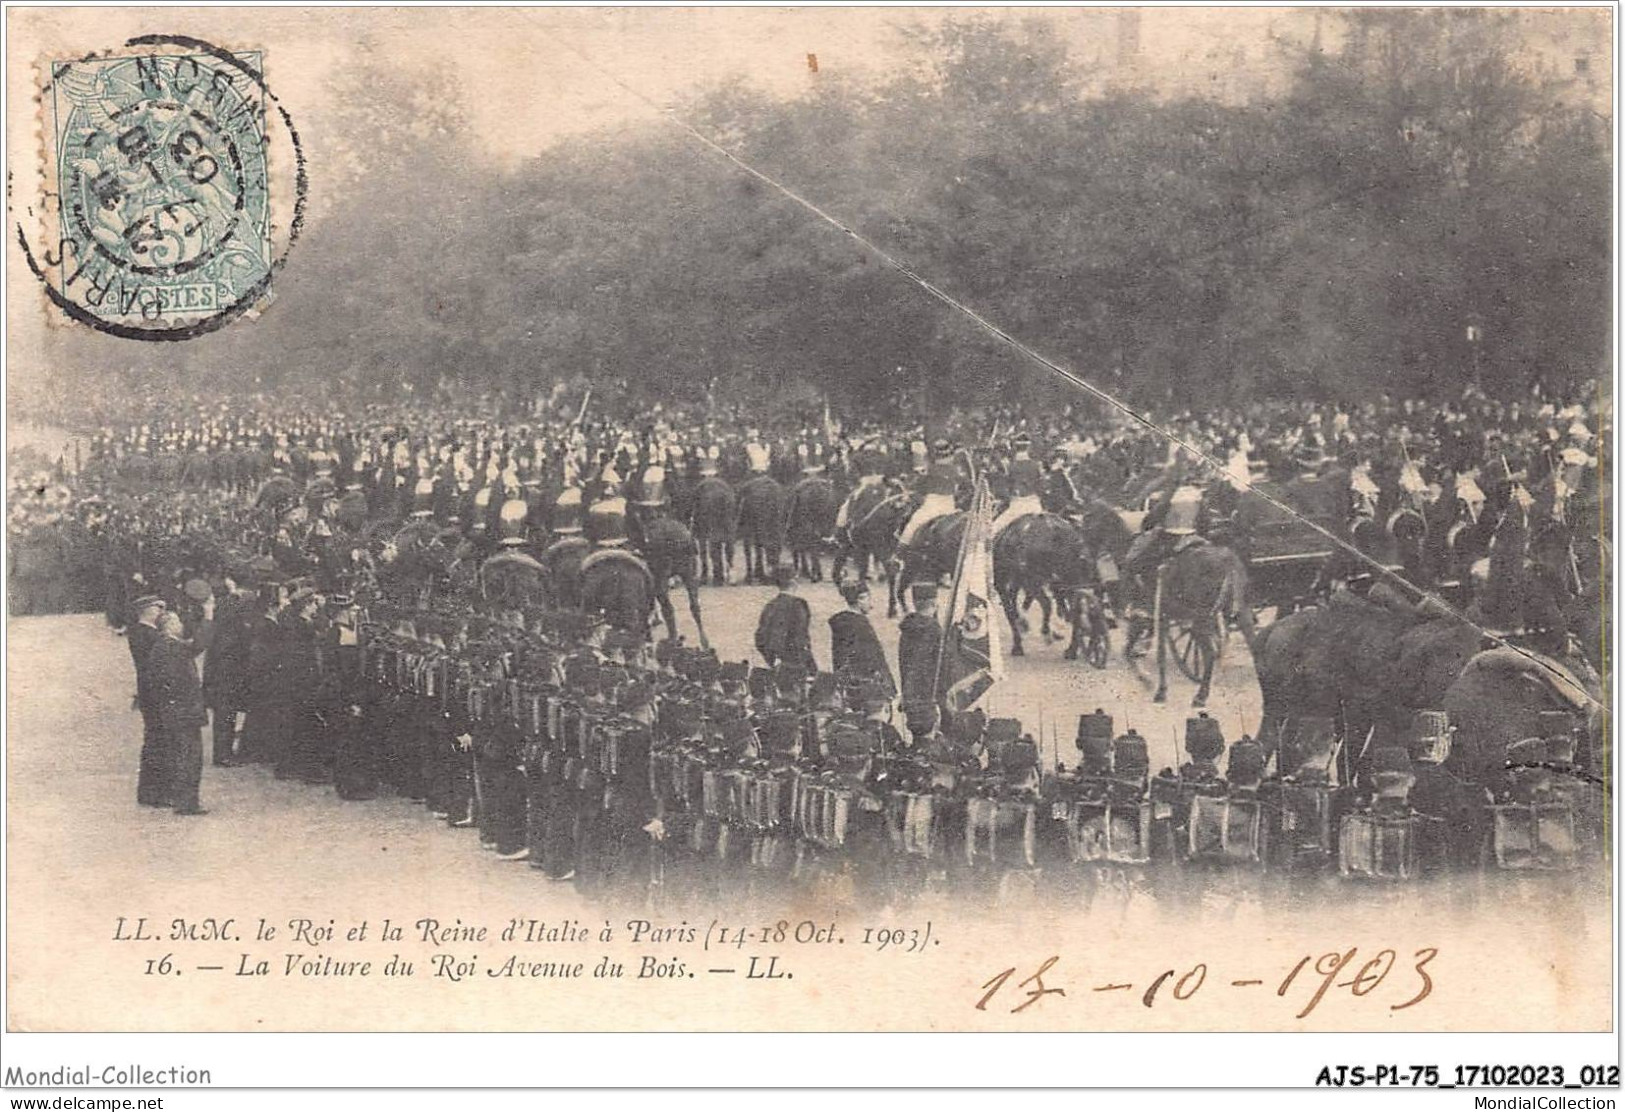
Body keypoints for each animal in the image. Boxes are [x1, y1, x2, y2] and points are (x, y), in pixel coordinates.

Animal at [627, 507, 711, 650]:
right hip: (690, 573)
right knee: (695, 607)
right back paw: (703, 642)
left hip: (661, 578)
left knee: (669, 608)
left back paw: (673, 640)